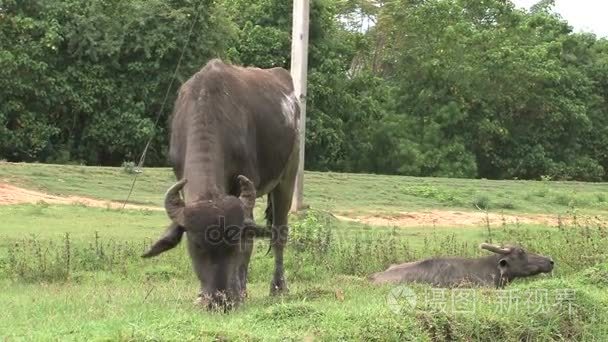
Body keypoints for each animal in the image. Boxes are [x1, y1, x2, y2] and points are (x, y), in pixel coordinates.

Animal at [138, 58, 300, 308]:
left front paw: (240, 292)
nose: (219, 299)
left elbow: (249, 245)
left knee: (279, 234)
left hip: (287, 176)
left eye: (233, 245)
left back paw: (277, 287)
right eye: (195, 245)